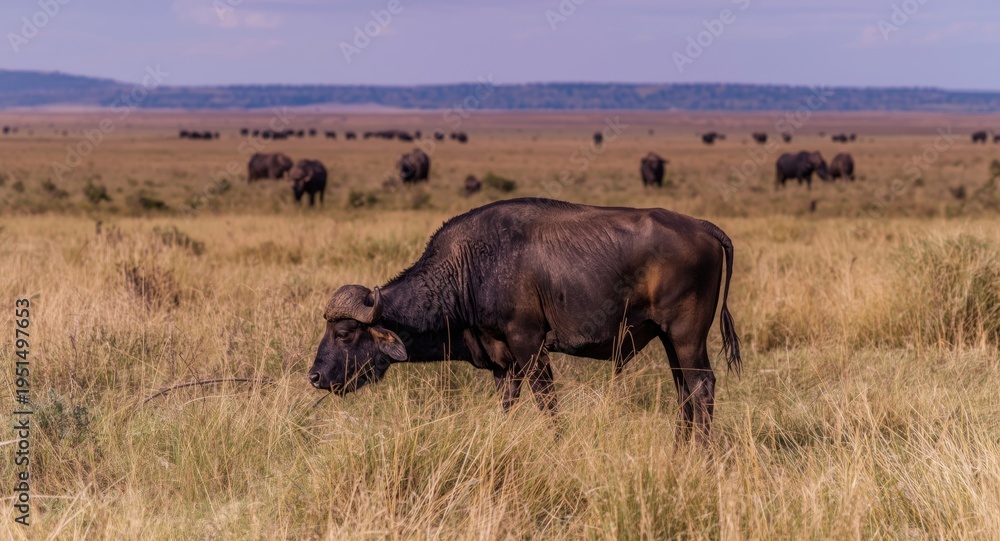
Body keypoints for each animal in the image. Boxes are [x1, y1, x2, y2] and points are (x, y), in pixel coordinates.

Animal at [307, 198, 742, 445]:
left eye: (344, 333)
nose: (314, 376)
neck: (470, 268)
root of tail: (702, 227)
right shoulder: (504, 365)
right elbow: (509, 406)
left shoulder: (529, 345)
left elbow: (548, 404)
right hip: (671, 343)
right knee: (685, 392)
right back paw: (679, 451)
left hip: (687, 339)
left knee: (702, 387)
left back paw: (701, 455)